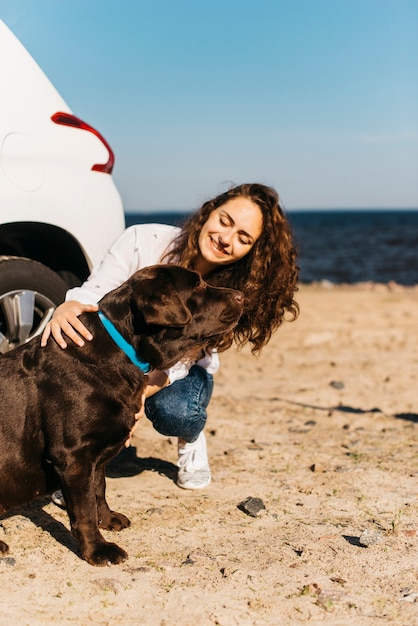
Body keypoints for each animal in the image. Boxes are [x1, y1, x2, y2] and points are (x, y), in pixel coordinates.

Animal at [0, 264, 242, 564]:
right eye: (196, 286)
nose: (242, 296)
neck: (119, 351)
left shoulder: (95, 456)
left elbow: (98, 490)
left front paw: (107, 519)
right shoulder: (73, 455)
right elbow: (83, 510)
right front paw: (98, 549)